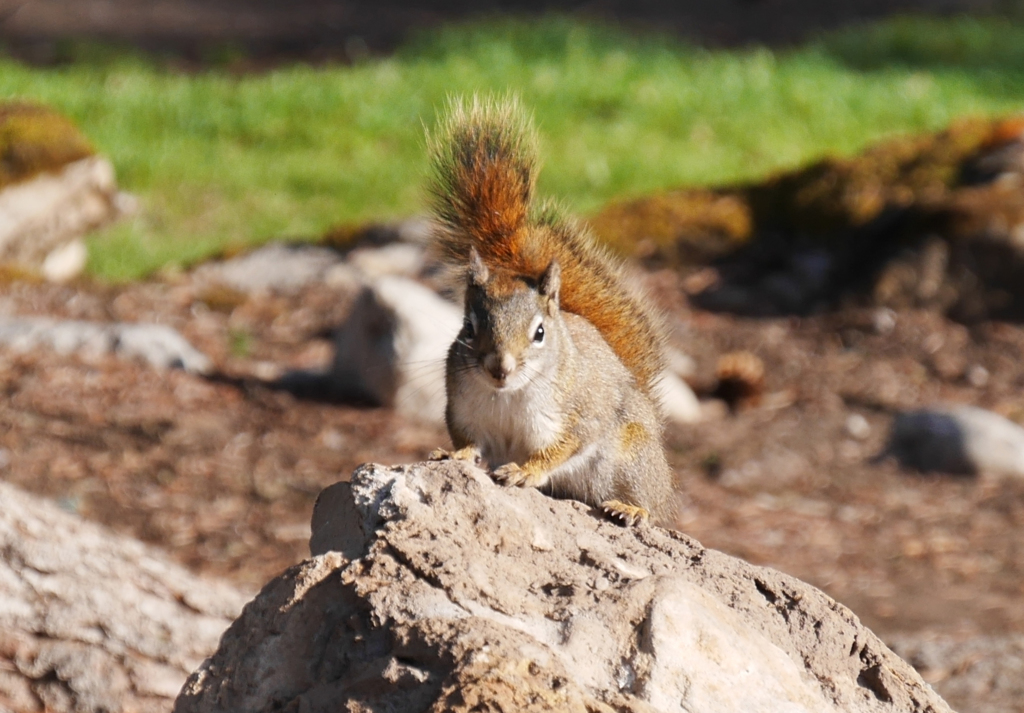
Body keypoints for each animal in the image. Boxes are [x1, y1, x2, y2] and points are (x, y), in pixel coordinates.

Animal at [423, 97, 671, 524]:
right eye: (468, 328)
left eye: (539, 333)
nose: (500, 368)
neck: (507, 396)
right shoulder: (464, 413)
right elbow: (469, 443)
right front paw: (453, 454)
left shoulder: (577, 416)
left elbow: (561, 448)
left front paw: (525, 471)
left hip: (635, 459)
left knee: (653, 507)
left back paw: (631, 508)